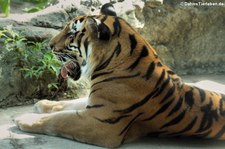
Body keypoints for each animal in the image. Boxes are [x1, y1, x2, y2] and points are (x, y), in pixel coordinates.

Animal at [14, 2, 225, 148]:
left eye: (71, 35)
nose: (49, 45)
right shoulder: (96, 102)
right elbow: (66, 105)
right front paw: (42, 104)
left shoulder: (100, 122)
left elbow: (58, 120)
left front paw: (23, 119)